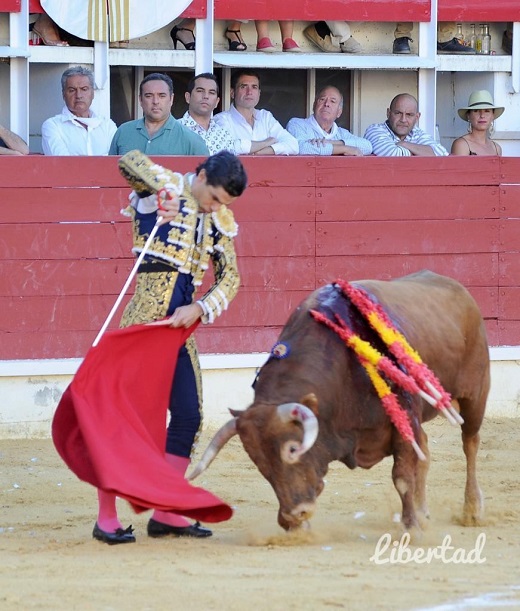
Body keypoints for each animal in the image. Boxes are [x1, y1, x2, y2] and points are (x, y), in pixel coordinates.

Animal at [189, 270, 490, 532]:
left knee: (470, 443)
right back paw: (425, 512)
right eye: (258, 461)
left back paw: (473, 510)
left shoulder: (403, 420)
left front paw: (411, 528)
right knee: (426, 450)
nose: (292, 515)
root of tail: (459, 289)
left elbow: (403, 477)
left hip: (475, 395)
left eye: (292, 449)